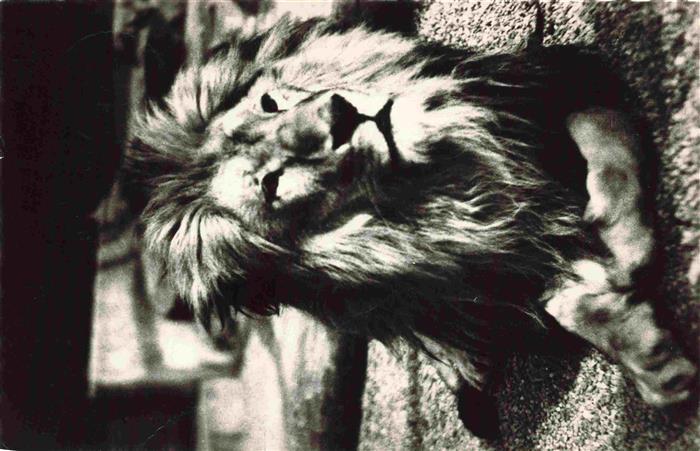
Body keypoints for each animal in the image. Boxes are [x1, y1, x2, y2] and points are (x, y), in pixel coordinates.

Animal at [122, 16, 696, 438]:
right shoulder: (496, 262)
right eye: (271, 184)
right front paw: (658, 366)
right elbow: (565, 301)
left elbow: (605, 154)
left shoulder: (566, 76)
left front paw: (625, 244)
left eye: (270, 103)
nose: (339, 117)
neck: (436, 186)